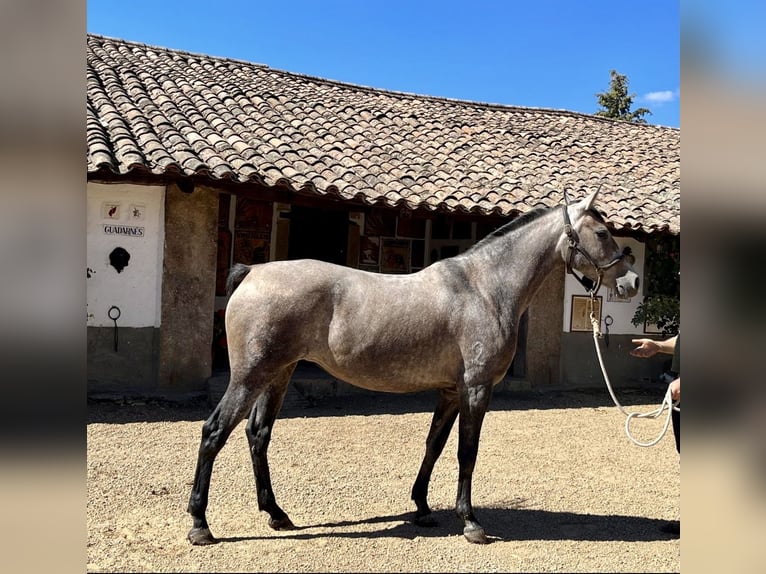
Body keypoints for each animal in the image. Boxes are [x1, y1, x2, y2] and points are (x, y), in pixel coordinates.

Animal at [188, 191, 640, 548]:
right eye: (602, 233)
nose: (631, 282)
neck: (485, 288)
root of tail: (252, 272)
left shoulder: (452, 391)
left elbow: (434, 446)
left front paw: (422, 507)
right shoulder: (476, 389)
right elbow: (467, 452)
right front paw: (470, 522)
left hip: (278, 374)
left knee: (257, 435)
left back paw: (277, 514)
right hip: (250, 377)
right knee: (214, 432)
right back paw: (200, 525)